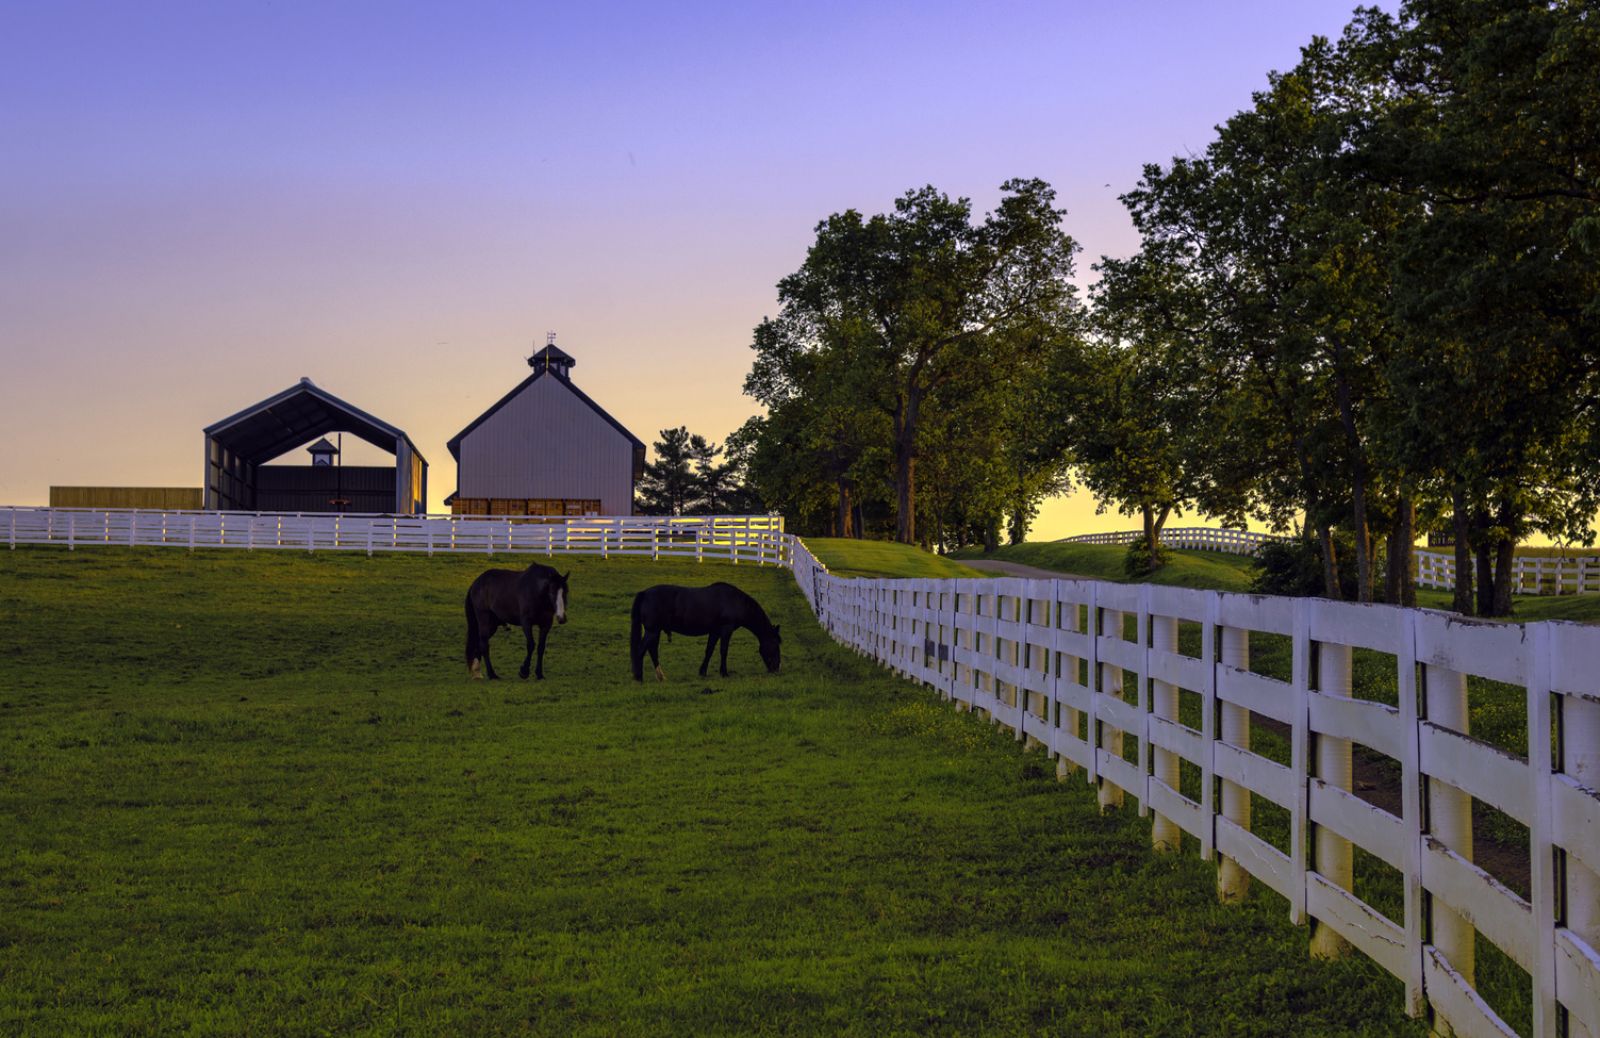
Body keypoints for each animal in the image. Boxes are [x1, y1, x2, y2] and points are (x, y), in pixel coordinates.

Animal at [627, 582, 777, 681]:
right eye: (776, 645)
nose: (777, 668)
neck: (734, 600)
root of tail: (645, 593)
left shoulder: (715, 632)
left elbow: (709, 650)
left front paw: (703, 672)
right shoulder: (726, 630)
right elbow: (723, 651)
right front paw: (724, 673)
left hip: (654, 631)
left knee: (652, 651)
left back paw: (660, 676)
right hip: (652, 631)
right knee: (641, 650)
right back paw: (639, 677)